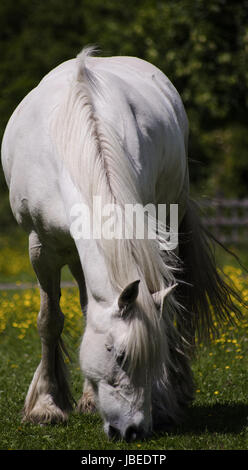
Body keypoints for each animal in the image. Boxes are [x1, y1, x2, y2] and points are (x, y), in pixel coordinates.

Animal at [0, 47, 241, 440]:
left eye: (151, 359)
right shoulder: (41, 249)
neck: (72, 146)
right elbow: (50, 320)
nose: (133, 431)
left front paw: (163, 400)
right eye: (120, 355)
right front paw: (46, 406)